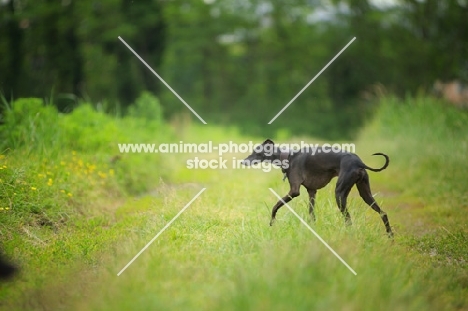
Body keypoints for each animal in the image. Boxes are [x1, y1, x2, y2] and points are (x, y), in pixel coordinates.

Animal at [243, 140, 394, 238]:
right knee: (383, 213)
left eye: (256, 152)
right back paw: (390, 236)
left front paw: (272, 222)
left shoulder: (294, 191)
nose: (242, 162)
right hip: (365, 193)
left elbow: (275, 206)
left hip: (339, 194)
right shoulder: (312, 192)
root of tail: (359, 163)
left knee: (349, 219)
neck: (289, 157)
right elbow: (311, 215)